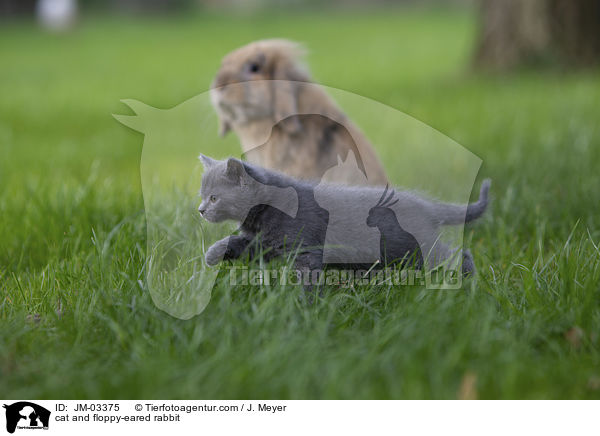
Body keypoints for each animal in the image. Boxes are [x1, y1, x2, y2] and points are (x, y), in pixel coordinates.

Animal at [199, 155, 490, 280]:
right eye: (202, 196)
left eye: (214, 198)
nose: (200, 210)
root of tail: (428, 206)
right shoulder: (264, 243)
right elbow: (239, 244)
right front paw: (212, 255)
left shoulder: (305, 247)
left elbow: (309, 275)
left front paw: (307, 307)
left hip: (419, 246)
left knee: (457, 254)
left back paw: (469, 282)